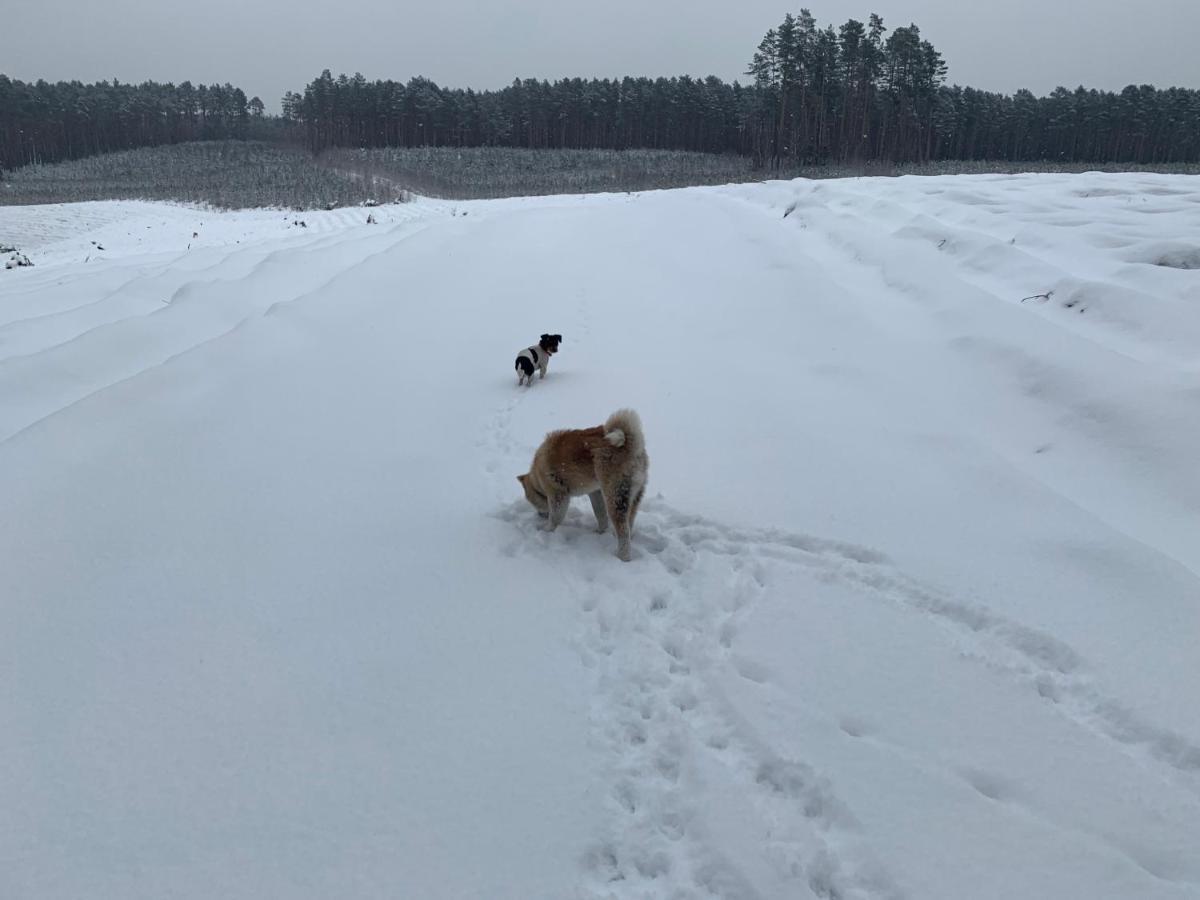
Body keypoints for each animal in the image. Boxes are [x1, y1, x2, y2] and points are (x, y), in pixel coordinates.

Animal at [516, 410, 648, 564]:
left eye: (533, 503)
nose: (539, 515)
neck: (538, 479)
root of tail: (632, 444)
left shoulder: (558, 495)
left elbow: (555, 517)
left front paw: (546, 530)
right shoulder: (595, 492)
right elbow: (600, 514)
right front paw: (601, 532)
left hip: (614, 497)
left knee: (623, 532)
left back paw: (622, 557)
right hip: (632, 496)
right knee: (629, 523)